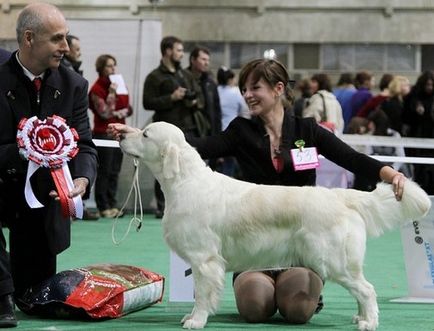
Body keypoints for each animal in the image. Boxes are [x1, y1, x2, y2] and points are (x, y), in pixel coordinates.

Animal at [118, 122, 430, 331]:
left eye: (145, 134)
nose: (120, 134)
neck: (185, 182)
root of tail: (341, 196)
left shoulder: (203, 259)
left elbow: (203, 294)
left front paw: (196, 320)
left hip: (333, 260)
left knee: (367, 289)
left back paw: (369, 322)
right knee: (362, 290)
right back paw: (361, 316)